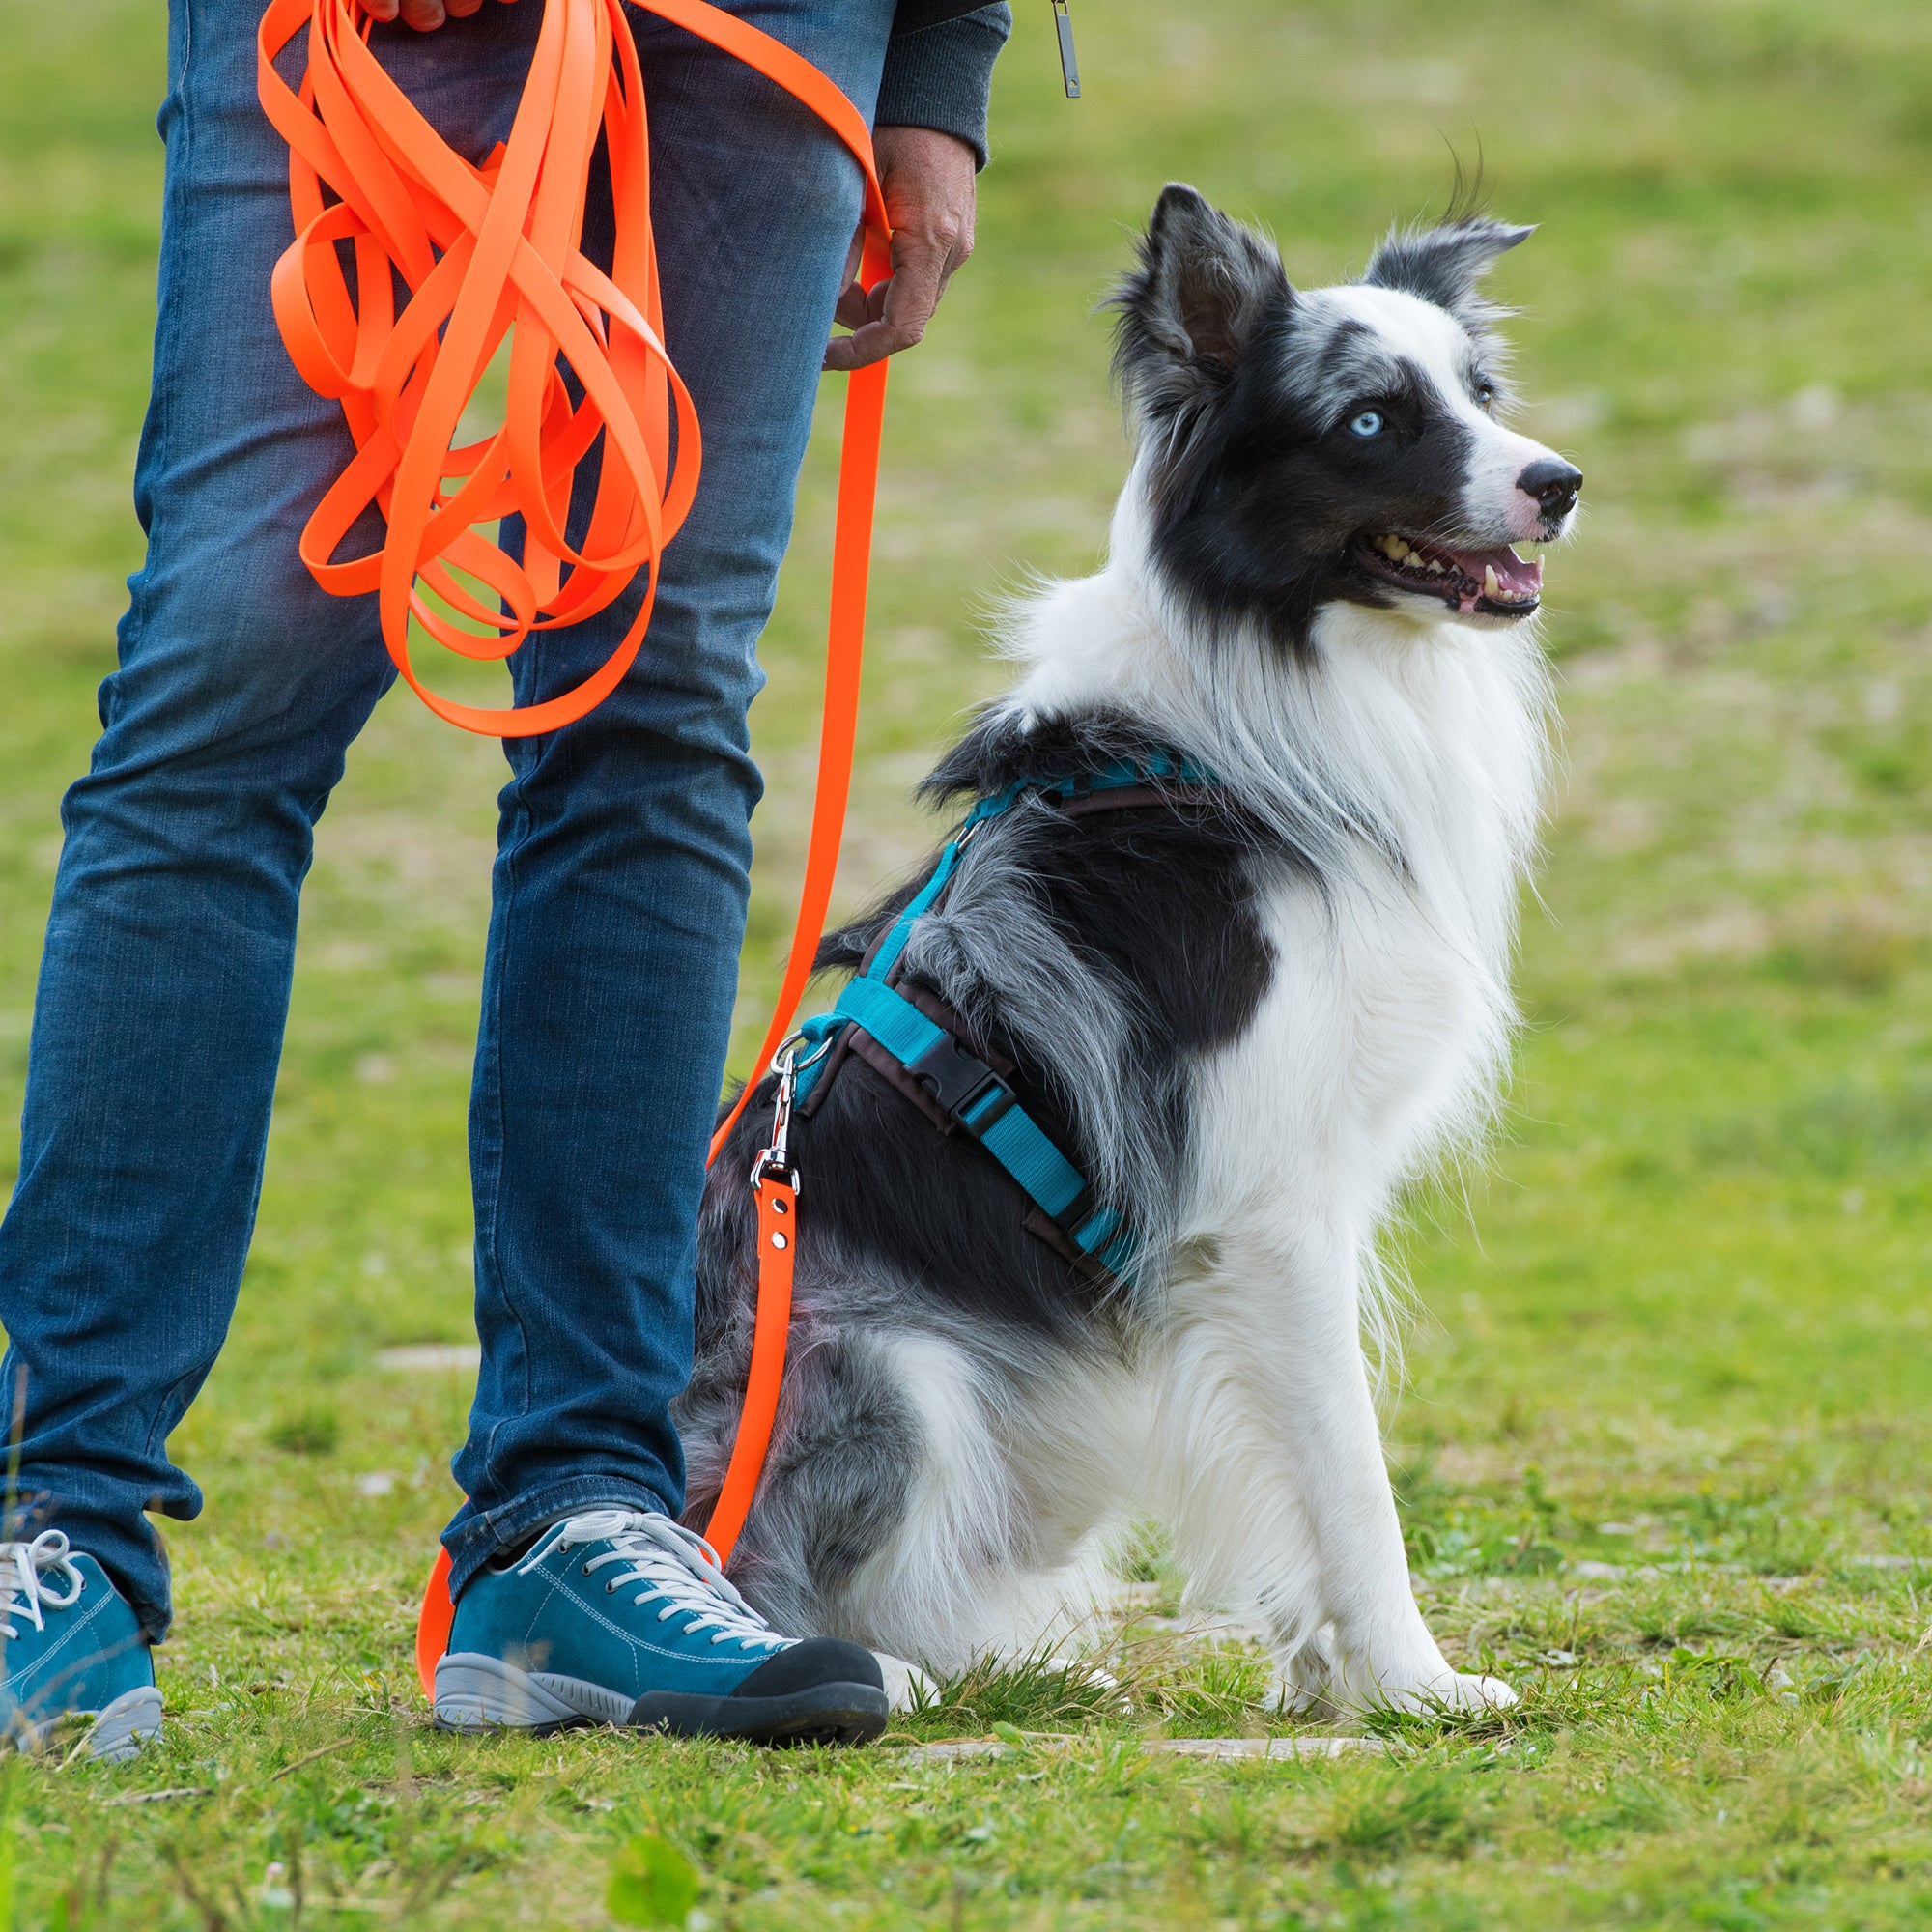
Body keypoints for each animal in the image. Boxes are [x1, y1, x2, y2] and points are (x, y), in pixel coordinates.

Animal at [688, 188, 1577, 1716]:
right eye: (1370, 420)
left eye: (1481, 394)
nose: (1561, 482)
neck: (1264, 690)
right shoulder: (1270, 1205)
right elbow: (1351, 1471)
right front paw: (1415, 1683)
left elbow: (1295, 1469)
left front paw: (1322, 1671)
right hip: (894, 1371)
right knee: (774, 1574)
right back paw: (875, 1676)